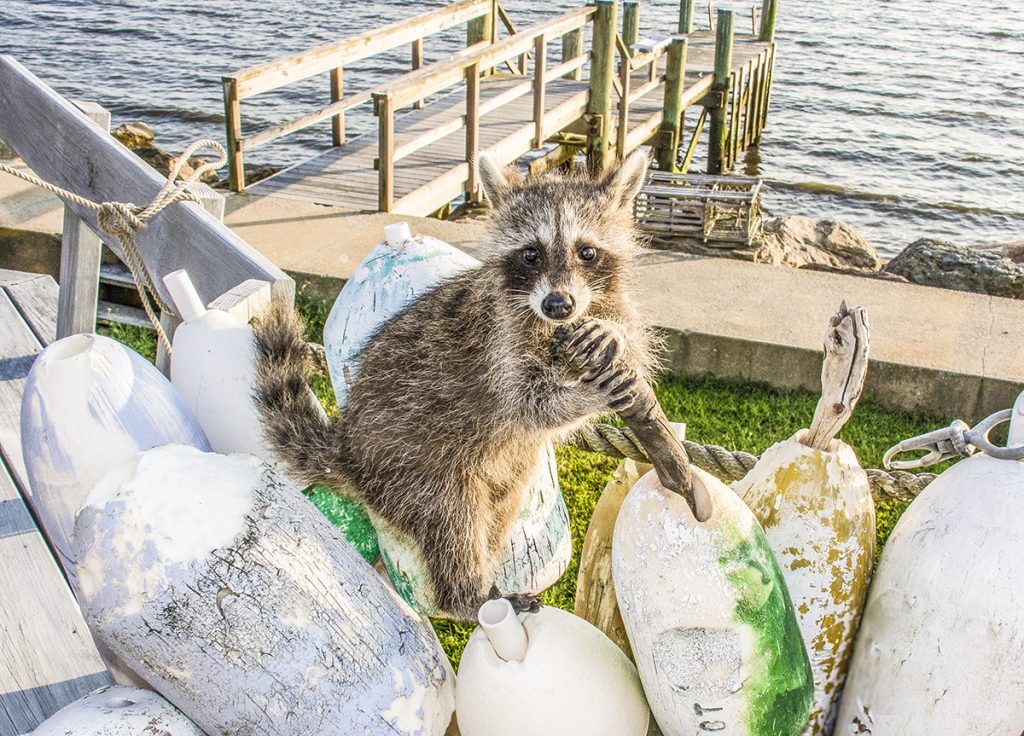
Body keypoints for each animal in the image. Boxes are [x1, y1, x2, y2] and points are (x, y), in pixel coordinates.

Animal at [252, 148, 659, 614]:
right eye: (531, 254)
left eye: (587, 251)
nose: (558, 304)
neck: (553, 326)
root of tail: (347, 449)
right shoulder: (496, 342)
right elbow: (528, 405)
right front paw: (586, 395)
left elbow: (632, 343)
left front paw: (616, 335)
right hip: (415, 466)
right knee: (453, 520)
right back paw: (467, 597)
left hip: (500, 473)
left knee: (496, 514)